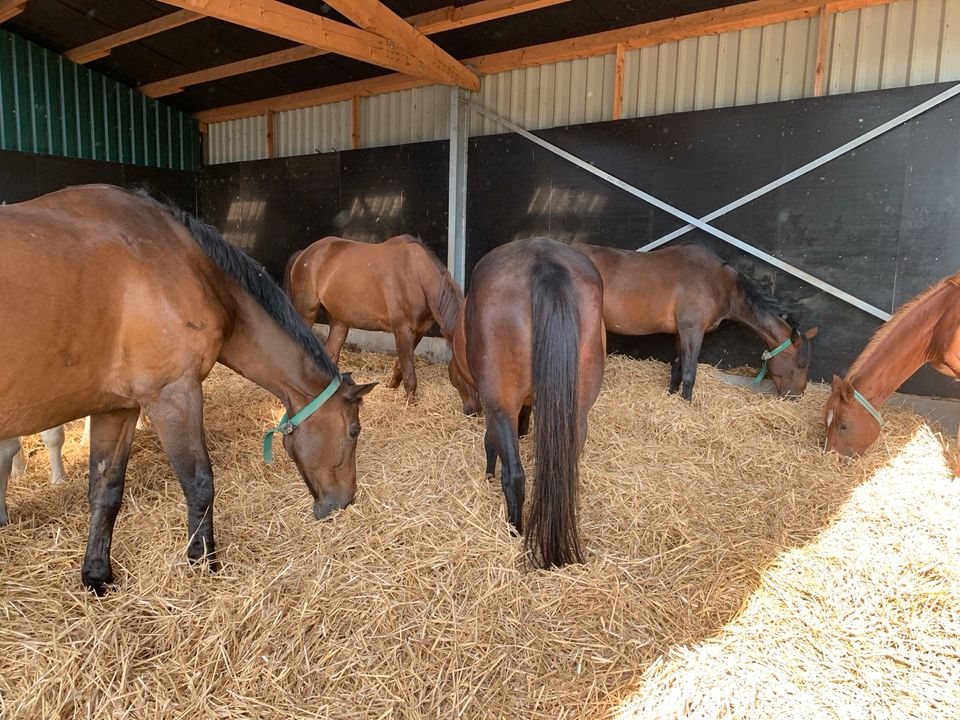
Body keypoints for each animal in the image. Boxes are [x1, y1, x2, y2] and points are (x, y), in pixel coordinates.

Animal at [0, 186, 376, 596]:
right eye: (353, 431)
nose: (345, 501)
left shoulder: (117, 409)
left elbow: (105, 489)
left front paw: (97, 576)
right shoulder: (174, 397)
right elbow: (199, 482)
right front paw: (203, 562)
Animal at [452, 236, 608, 568]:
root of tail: (544, 262)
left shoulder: (495, 408)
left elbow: (490, 444)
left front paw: (488, 473)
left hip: (501, 408)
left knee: (515, 476)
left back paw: (515, 530)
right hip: (578, 414)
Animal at [572, 242, 820, 400]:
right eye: (801, 364)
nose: (797, 396)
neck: (718, 284)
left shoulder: (681, 332)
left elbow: (678, 368)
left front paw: (671, 397)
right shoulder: (693, 330)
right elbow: (690, 372)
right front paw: (686, 404)